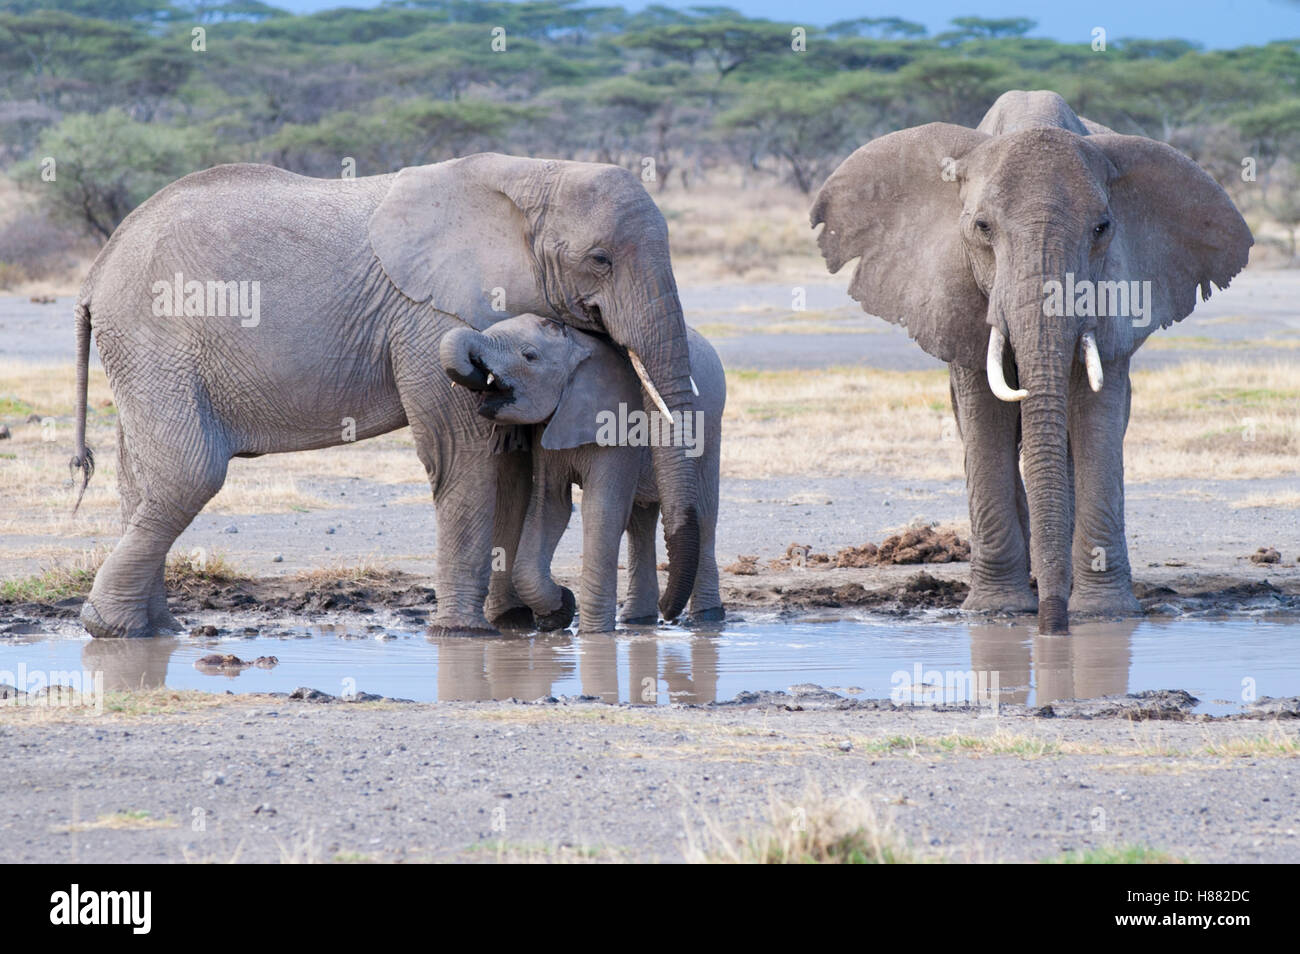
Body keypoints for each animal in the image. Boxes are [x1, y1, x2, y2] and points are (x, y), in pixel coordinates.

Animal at [436, 310, 722, 634]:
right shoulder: (547, 432)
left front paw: (594, 633)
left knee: (704, 513)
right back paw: (639, 620)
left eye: (529, 356)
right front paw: (560, 609)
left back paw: (707, 618)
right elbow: (550, 506)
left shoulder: (618, 425)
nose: (668, 611)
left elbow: (601, 510)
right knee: (640, 522)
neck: (577, 346)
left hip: (711, 429)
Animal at [811, 91, 1248, 634]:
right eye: (981, 228)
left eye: (1102, 228)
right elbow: (985, 421)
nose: (1052, 629)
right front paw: (995, 610)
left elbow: (1097, 419)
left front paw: (1103, 615)